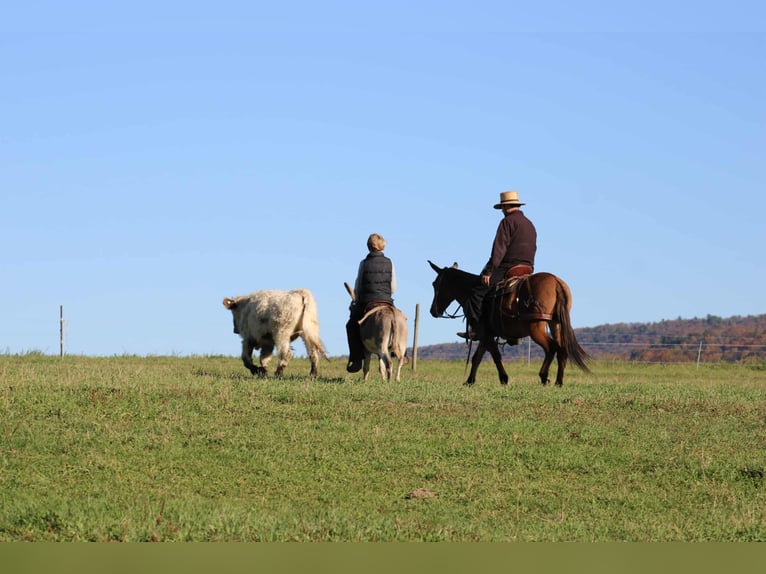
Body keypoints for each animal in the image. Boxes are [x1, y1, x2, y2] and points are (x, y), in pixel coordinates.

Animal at [428, 261, 590, 387]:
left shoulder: (486, 335)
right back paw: (558, 382)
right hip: (555, 324)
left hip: (536, 328)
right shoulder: (486, 335)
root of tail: (555, 282)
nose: (433, 311)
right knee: (562, 349)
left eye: (435, 284)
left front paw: (504, 379)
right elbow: (477, 357)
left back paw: (544, 376)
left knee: (551, 348)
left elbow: (495, 356)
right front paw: (470, 381)